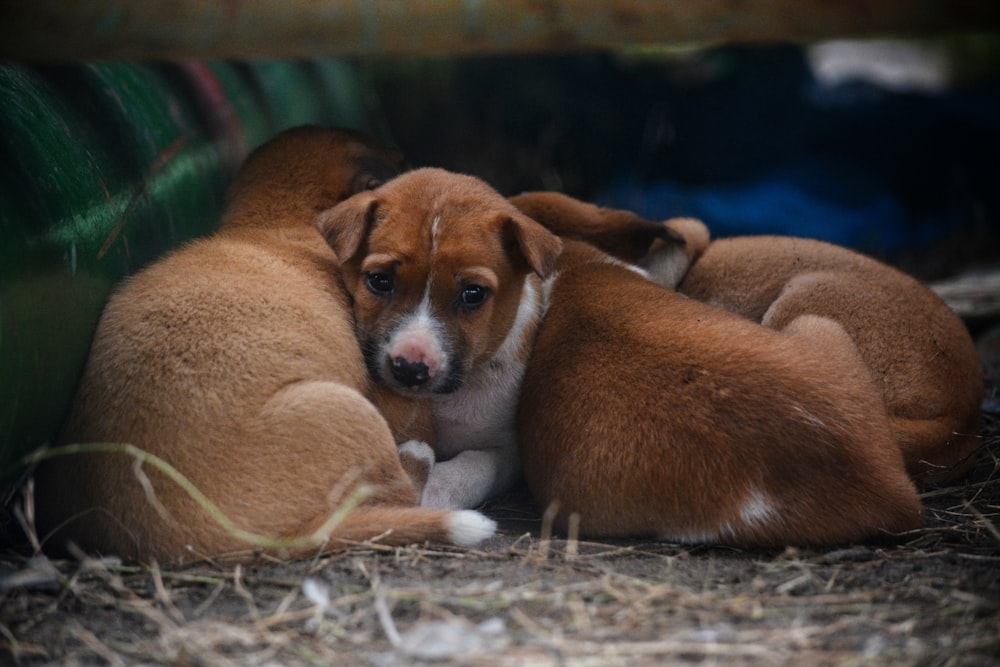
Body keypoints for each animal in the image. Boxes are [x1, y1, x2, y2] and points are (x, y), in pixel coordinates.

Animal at [316, 168, 564, 512]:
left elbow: (471, 468)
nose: (410, 369)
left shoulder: (506, 450)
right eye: (380, 281)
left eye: (473, 293)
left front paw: (429, 492)